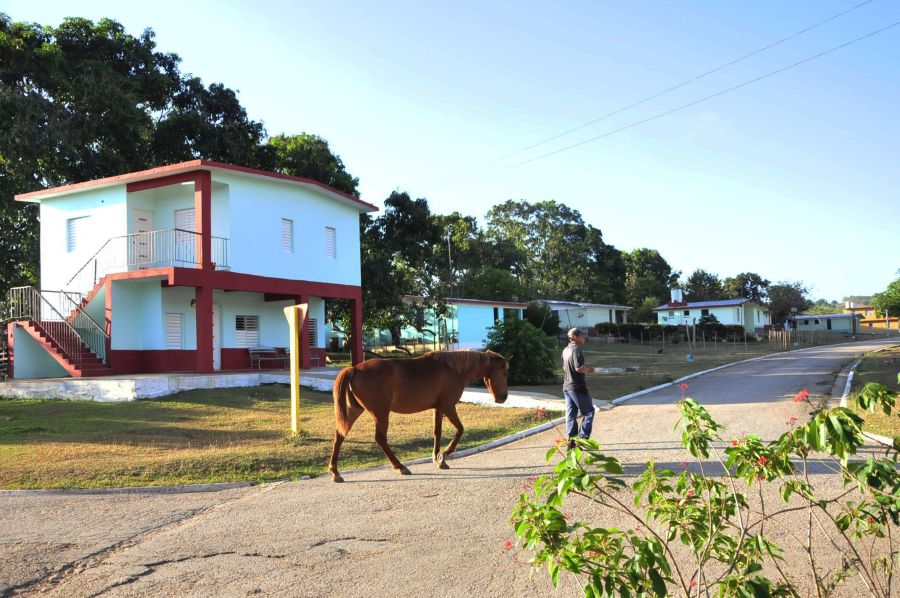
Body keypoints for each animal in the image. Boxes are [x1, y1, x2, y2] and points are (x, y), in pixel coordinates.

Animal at [326, 352, 510, 482]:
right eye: (505, 373)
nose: (503, 397)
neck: (454, 370)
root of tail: (354, 369)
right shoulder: (448, 407)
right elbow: (460, 430)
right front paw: (445, 454)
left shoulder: (438, 408)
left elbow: (437, 433)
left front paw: (438, 459)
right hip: (380, 413)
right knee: (380, 438)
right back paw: (400, 467)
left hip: (354, 411)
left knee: (339, 436)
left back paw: (335, 472)